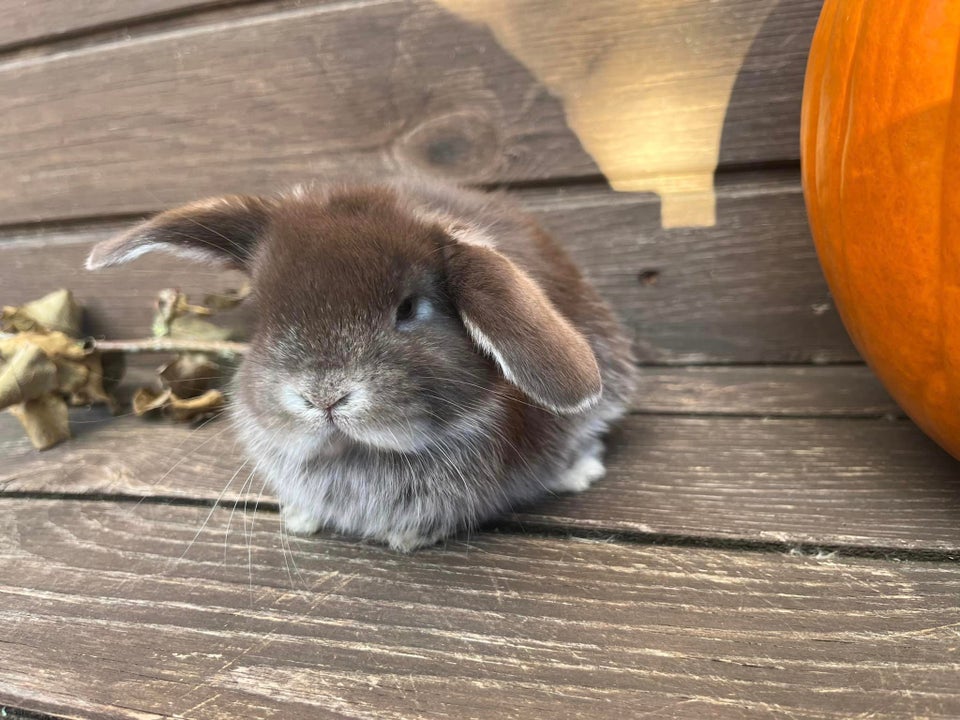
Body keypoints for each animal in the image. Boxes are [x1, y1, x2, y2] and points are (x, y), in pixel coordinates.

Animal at [84, 176, 636, 552]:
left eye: (409, 309)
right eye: (265, 311)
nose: (323, 396)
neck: (355, 456)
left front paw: (408, 538)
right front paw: (300, 519)